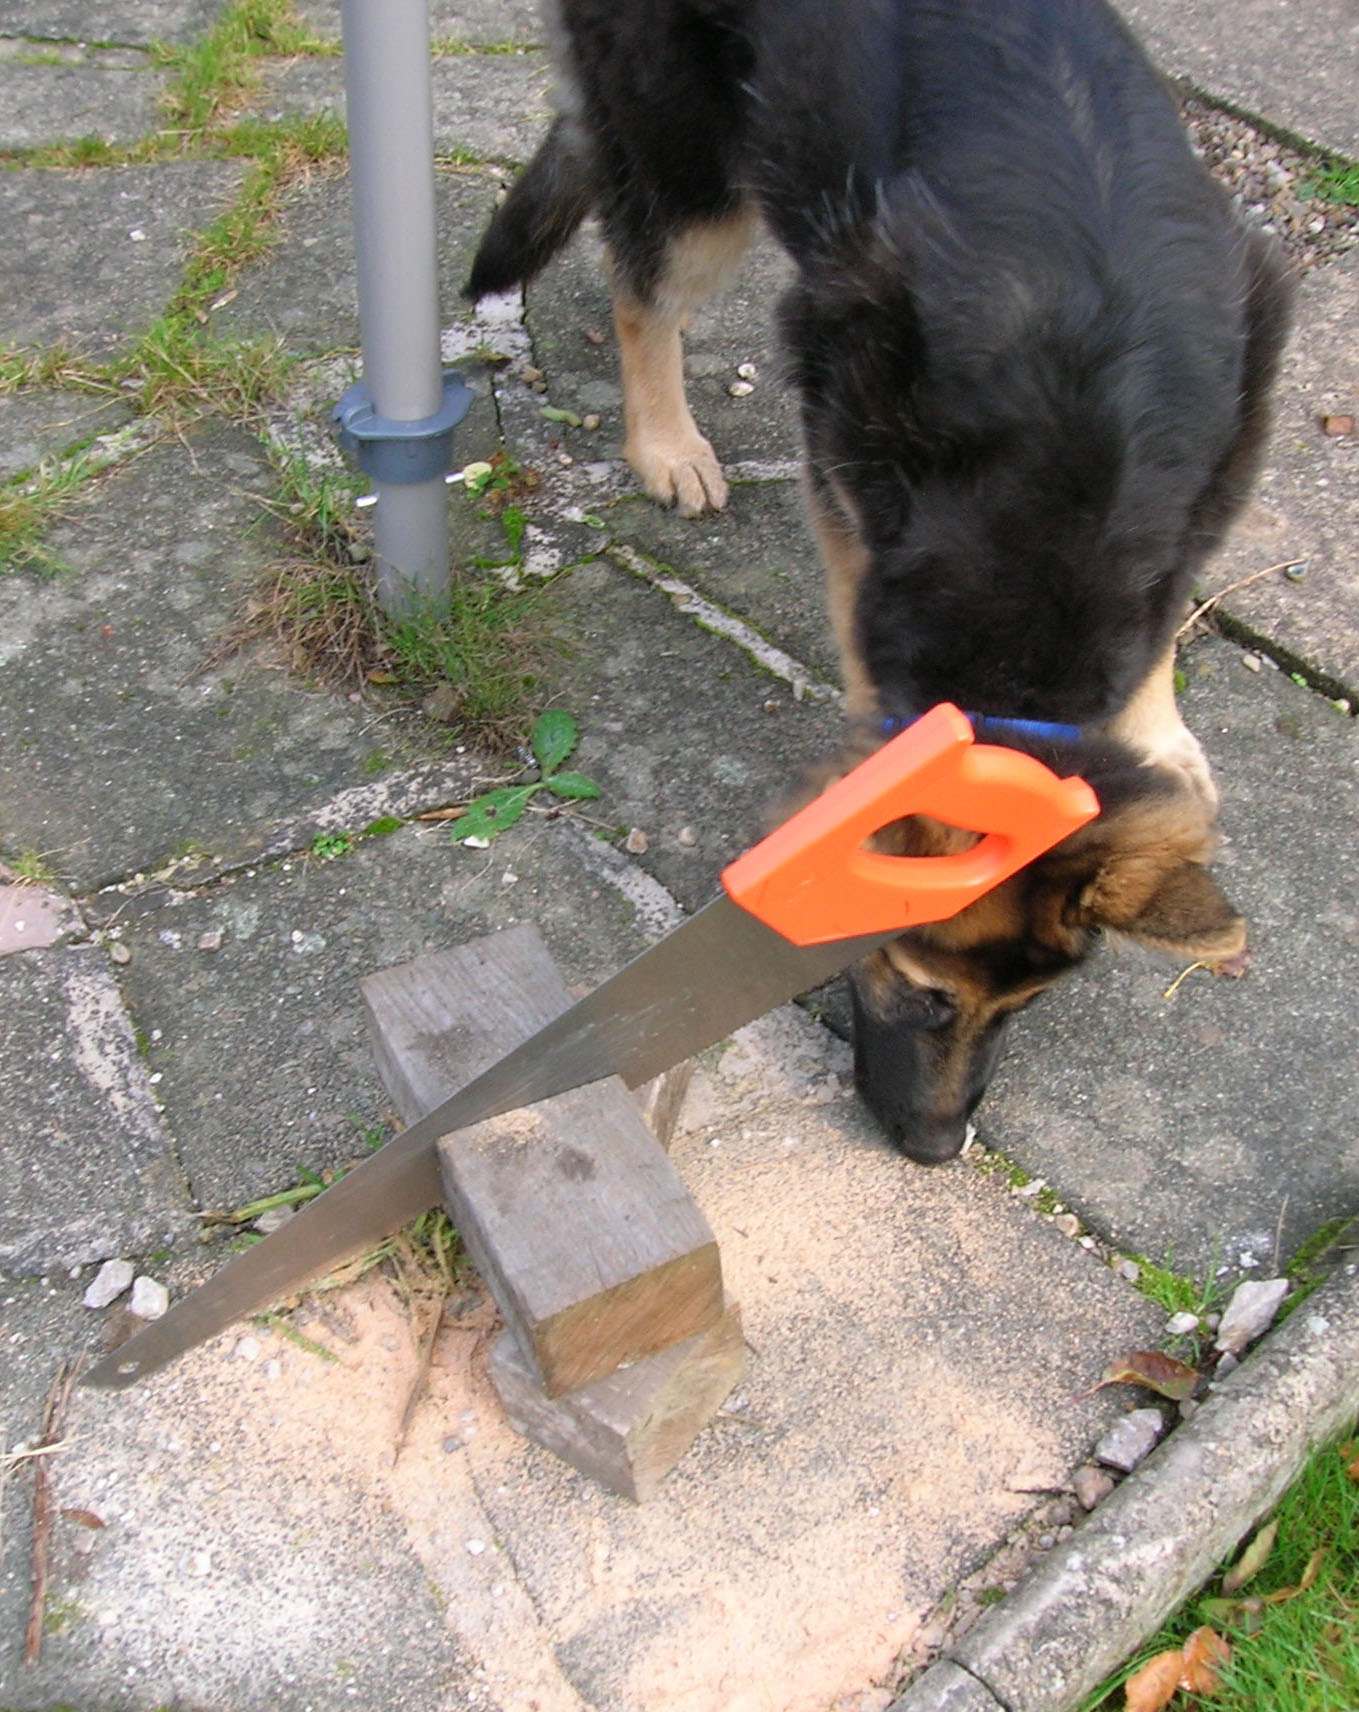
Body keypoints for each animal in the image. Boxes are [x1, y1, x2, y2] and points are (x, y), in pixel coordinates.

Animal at [468, 0, 1293, 1164]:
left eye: (1023, 1010)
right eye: (915, 988)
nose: (939, 1151)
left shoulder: (1219, 456)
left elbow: (1166, 622)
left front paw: (1159, 735)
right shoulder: (845, 437)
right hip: (698, 180)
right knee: (642, 289)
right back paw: (666, 441)